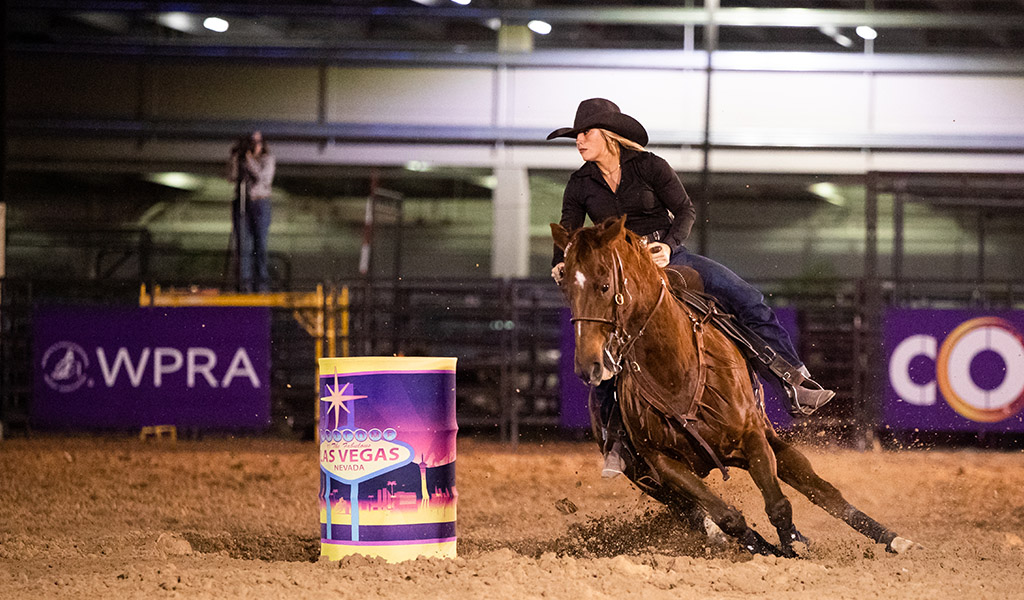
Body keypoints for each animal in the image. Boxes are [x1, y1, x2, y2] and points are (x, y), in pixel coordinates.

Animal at [551, 215, 917, 557]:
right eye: (566, 287)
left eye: (603, 285)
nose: (588, 364)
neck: (674, 369)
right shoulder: (664, 465)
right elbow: (728, 518)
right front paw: (769, 549)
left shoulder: (752, 437)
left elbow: (779, 505)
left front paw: (791, 548)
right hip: (655, 484)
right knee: (702, 517)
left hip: (771, 440)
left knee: (821, 489)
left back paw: (893, 539)